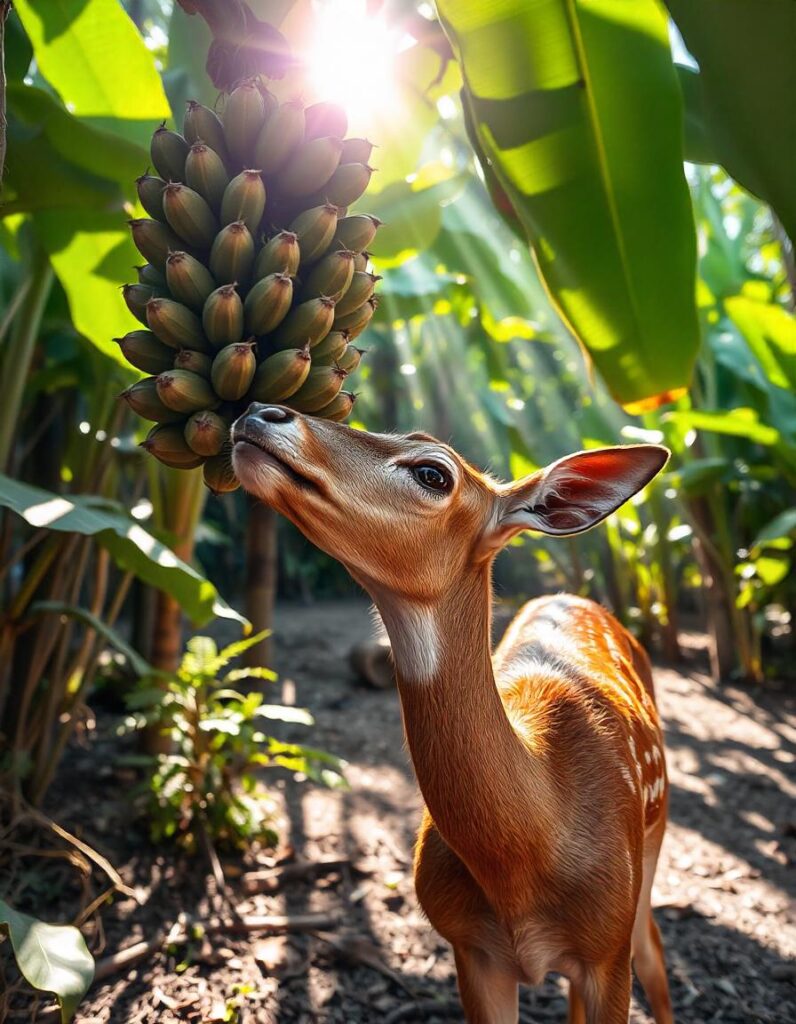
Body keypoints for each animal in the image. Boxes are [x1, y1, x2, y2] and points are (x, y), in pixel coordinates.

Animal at [232, 403, 672, 1019]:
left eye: (433, 474)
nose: (260, 410)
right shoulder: (470, 947)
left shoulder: (607, 949)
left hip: (648, 859)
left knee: (654, 952)